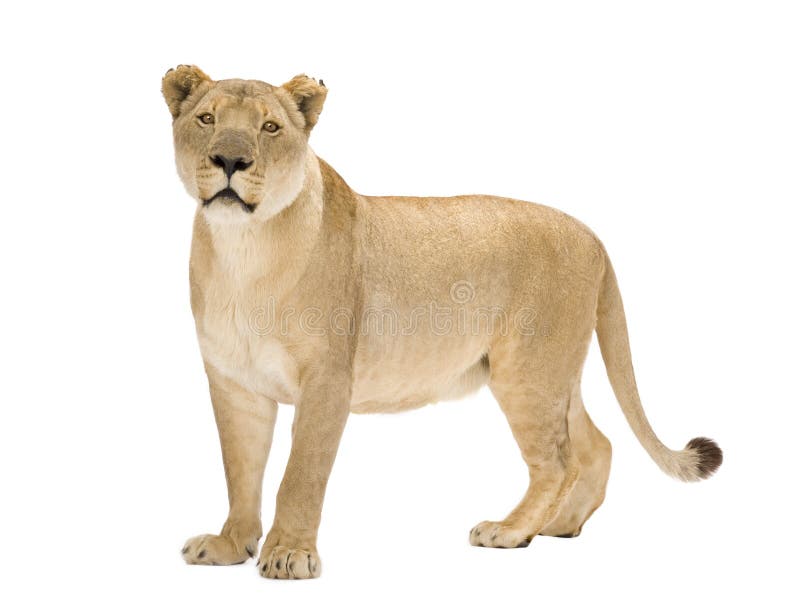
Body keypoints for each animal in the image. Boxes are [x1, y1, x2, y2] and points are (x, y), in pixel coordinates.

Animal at [162, 65, 722, 580]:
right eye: (207, 119)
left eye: (270, 127)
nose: (230, 160)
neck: (243, 250)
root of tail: (592, 235)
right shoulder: (234, 383)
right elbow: (241, 471)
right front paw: (229, 545)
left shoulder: (326, 380)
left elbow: (300, 474)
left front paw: (289, 554)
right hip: (557, 372)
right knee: (594, 445)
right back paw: (560, 525)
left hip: (527, 373)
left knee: (558, 461)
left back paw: (512, 530)